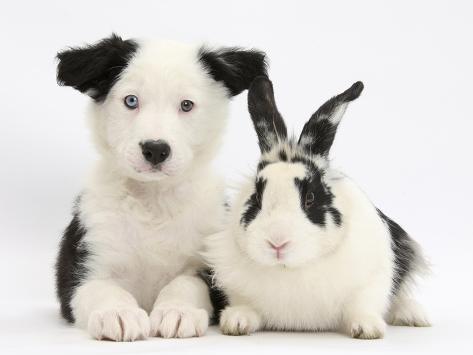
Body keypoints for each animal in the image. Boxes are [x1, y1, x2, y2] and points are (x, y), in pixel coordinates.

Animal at [54, 34, 266, 342]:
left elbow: (187, 283)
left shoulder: (210, 260)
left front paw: (177, 311)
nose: (155, 149)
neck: (153, 200)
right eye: (131, 101)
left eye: (186, 105)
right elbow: (101, 288)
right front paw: (118, 313)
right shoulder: (82, 264)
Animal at [203, 76, 428, 340]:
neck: (290, 269)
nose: (277, 242)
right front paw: (236, 322)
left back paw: (414, 315)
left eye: (310, 198)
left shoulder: (372, 279)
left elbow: (363, 305)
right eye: (257, 198)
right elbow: (244, 306)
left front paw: (367, 329)